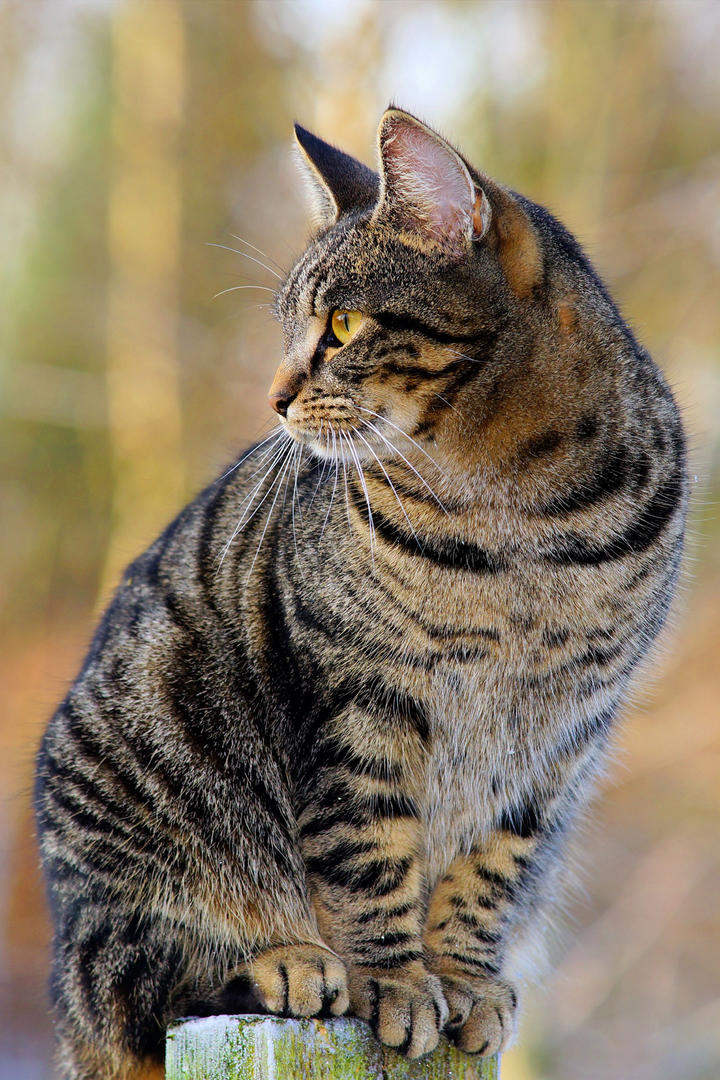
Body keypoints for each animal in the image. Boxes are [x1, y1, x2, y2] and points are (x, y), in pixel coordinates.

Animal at [33, 107, 686, 1080]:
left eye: (341, 323)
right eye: (290, 328)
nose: (272, 396)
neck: (524, 519)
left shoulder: (559, 735)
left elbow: (491, 869)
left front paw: (461, 978)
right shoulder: (358, 699)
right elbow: (369, 852)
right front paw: (396, 983)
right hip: (135, 820)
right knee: (142, 977)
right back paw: (287, 962)